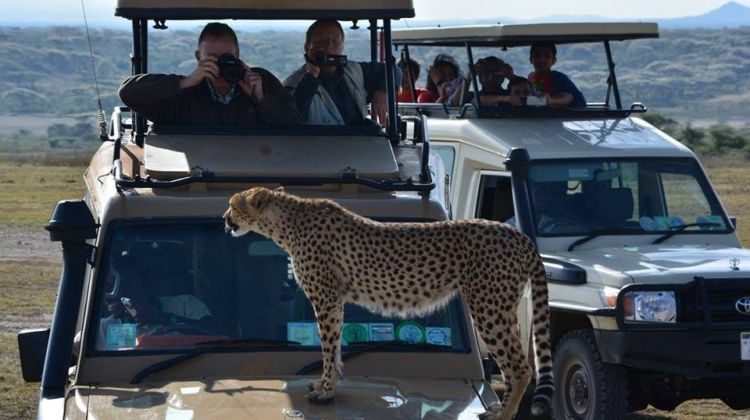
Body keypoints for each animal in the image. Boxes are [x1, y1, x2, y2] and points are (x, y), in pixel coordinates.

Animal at [223, 188, 552, 420]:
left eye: (233, 205)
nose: (225, 220)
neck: (288, 222)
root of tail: (519, 235)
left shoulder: (326, 298)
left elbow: (328, 347)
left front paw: (326, 391)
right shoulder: (336, 299)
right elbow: (336, 345)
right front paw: (329, 385)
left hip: (487, 308)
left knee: (521, 367)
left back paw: (502, 414)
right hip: (505, 308)